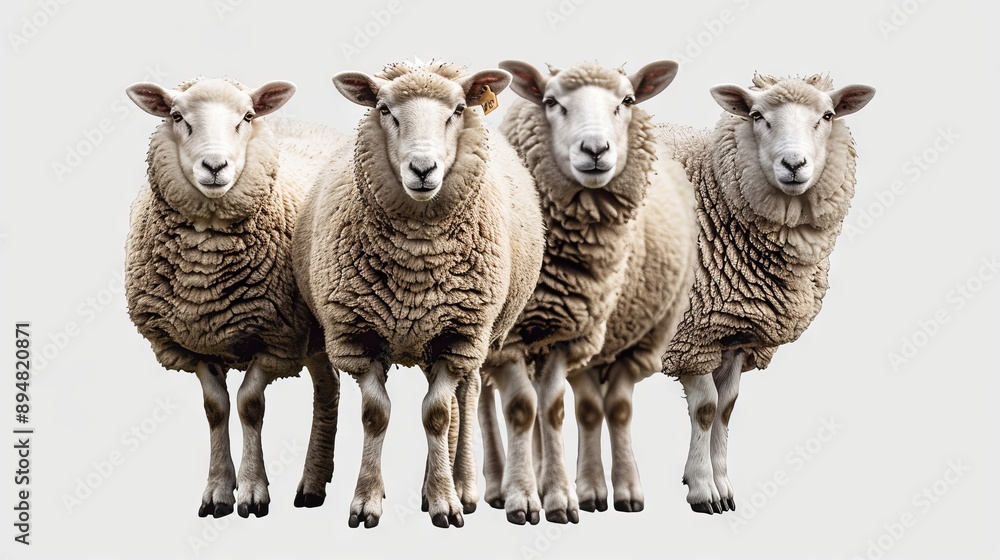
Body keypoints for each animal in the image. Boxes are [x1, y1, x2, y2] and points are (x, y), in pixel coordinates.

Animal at [124, 77, 344, 518]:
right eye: (176, 116)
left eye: (247, 116)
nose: (214, 166)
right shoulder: (193, 346)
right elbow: (216, 409)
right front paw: (217, 492)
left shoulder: (277, 340)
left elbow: (248, 405)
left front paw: (253, 491)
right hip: (314, 337)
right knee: (328, 386)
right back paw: (314, 484)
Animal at [292, 60, 545, 529]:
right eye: (384, 109)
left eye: (459, 109)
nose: (423, 168)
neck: (417, 264)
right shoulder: (359, 337)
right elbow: (376, 415)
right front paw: (367, 500)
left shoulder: (459, 335)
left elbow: (438, 414)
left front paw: (447, 501)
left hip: (474, 335)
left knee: (465, 398)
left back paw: (461, 486)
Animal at [478, 60, 697, 524]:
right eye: (551, 102)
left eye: (627, 100)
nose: (595, 149)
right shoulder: (509, 338)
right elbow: (520, 408)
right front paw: (522, 497)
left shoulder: (574, 334)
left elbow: (559, 409)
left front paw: (566, 494)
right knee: (485, 401)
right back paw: (495, 483)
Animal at [659, 73, 875, 514]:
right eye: (757, 116)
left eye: (828, 116)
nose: (793, 164)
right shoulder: (691, 336)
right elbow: (705, 409)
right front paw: (702, 490)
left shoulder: (737, 335)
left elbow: (726, 409)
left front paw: (722, 485)